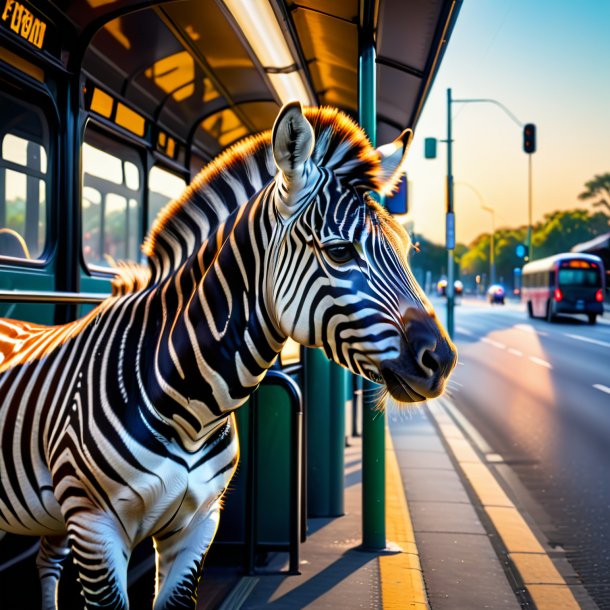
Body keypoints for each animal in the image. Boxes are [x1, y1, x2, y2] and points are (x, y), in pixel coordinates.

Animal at [0, 102, 456, 604]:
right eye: (339, 251)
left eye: (407, 250)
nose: (442, 361)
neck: (190, 406)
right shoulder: (95, 527)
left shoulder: (197, 525)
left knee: (46, 562)